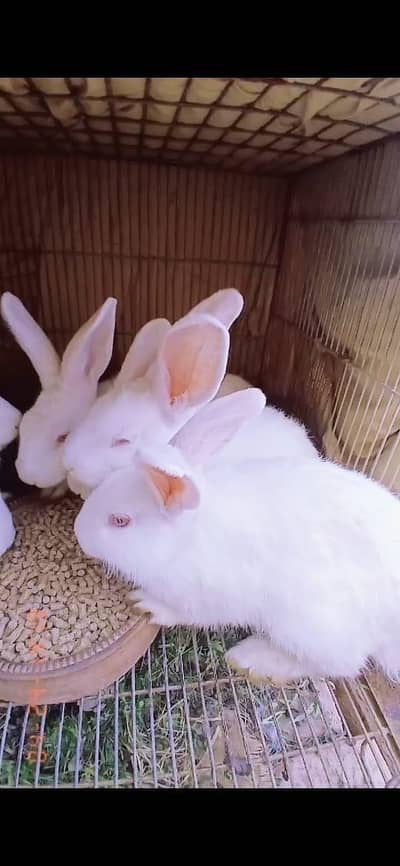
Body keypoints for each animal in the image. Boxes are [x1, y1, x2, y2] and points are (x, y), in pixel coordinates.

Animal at [74, 386, 400, 686]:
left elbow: (185, 613)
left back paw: (252, 659)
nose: (78, 531)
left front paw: (147, 603)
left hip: (309, 627)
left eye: (120, 521)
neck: (185, 539)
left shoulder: (207, 597)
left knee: (341, 664)